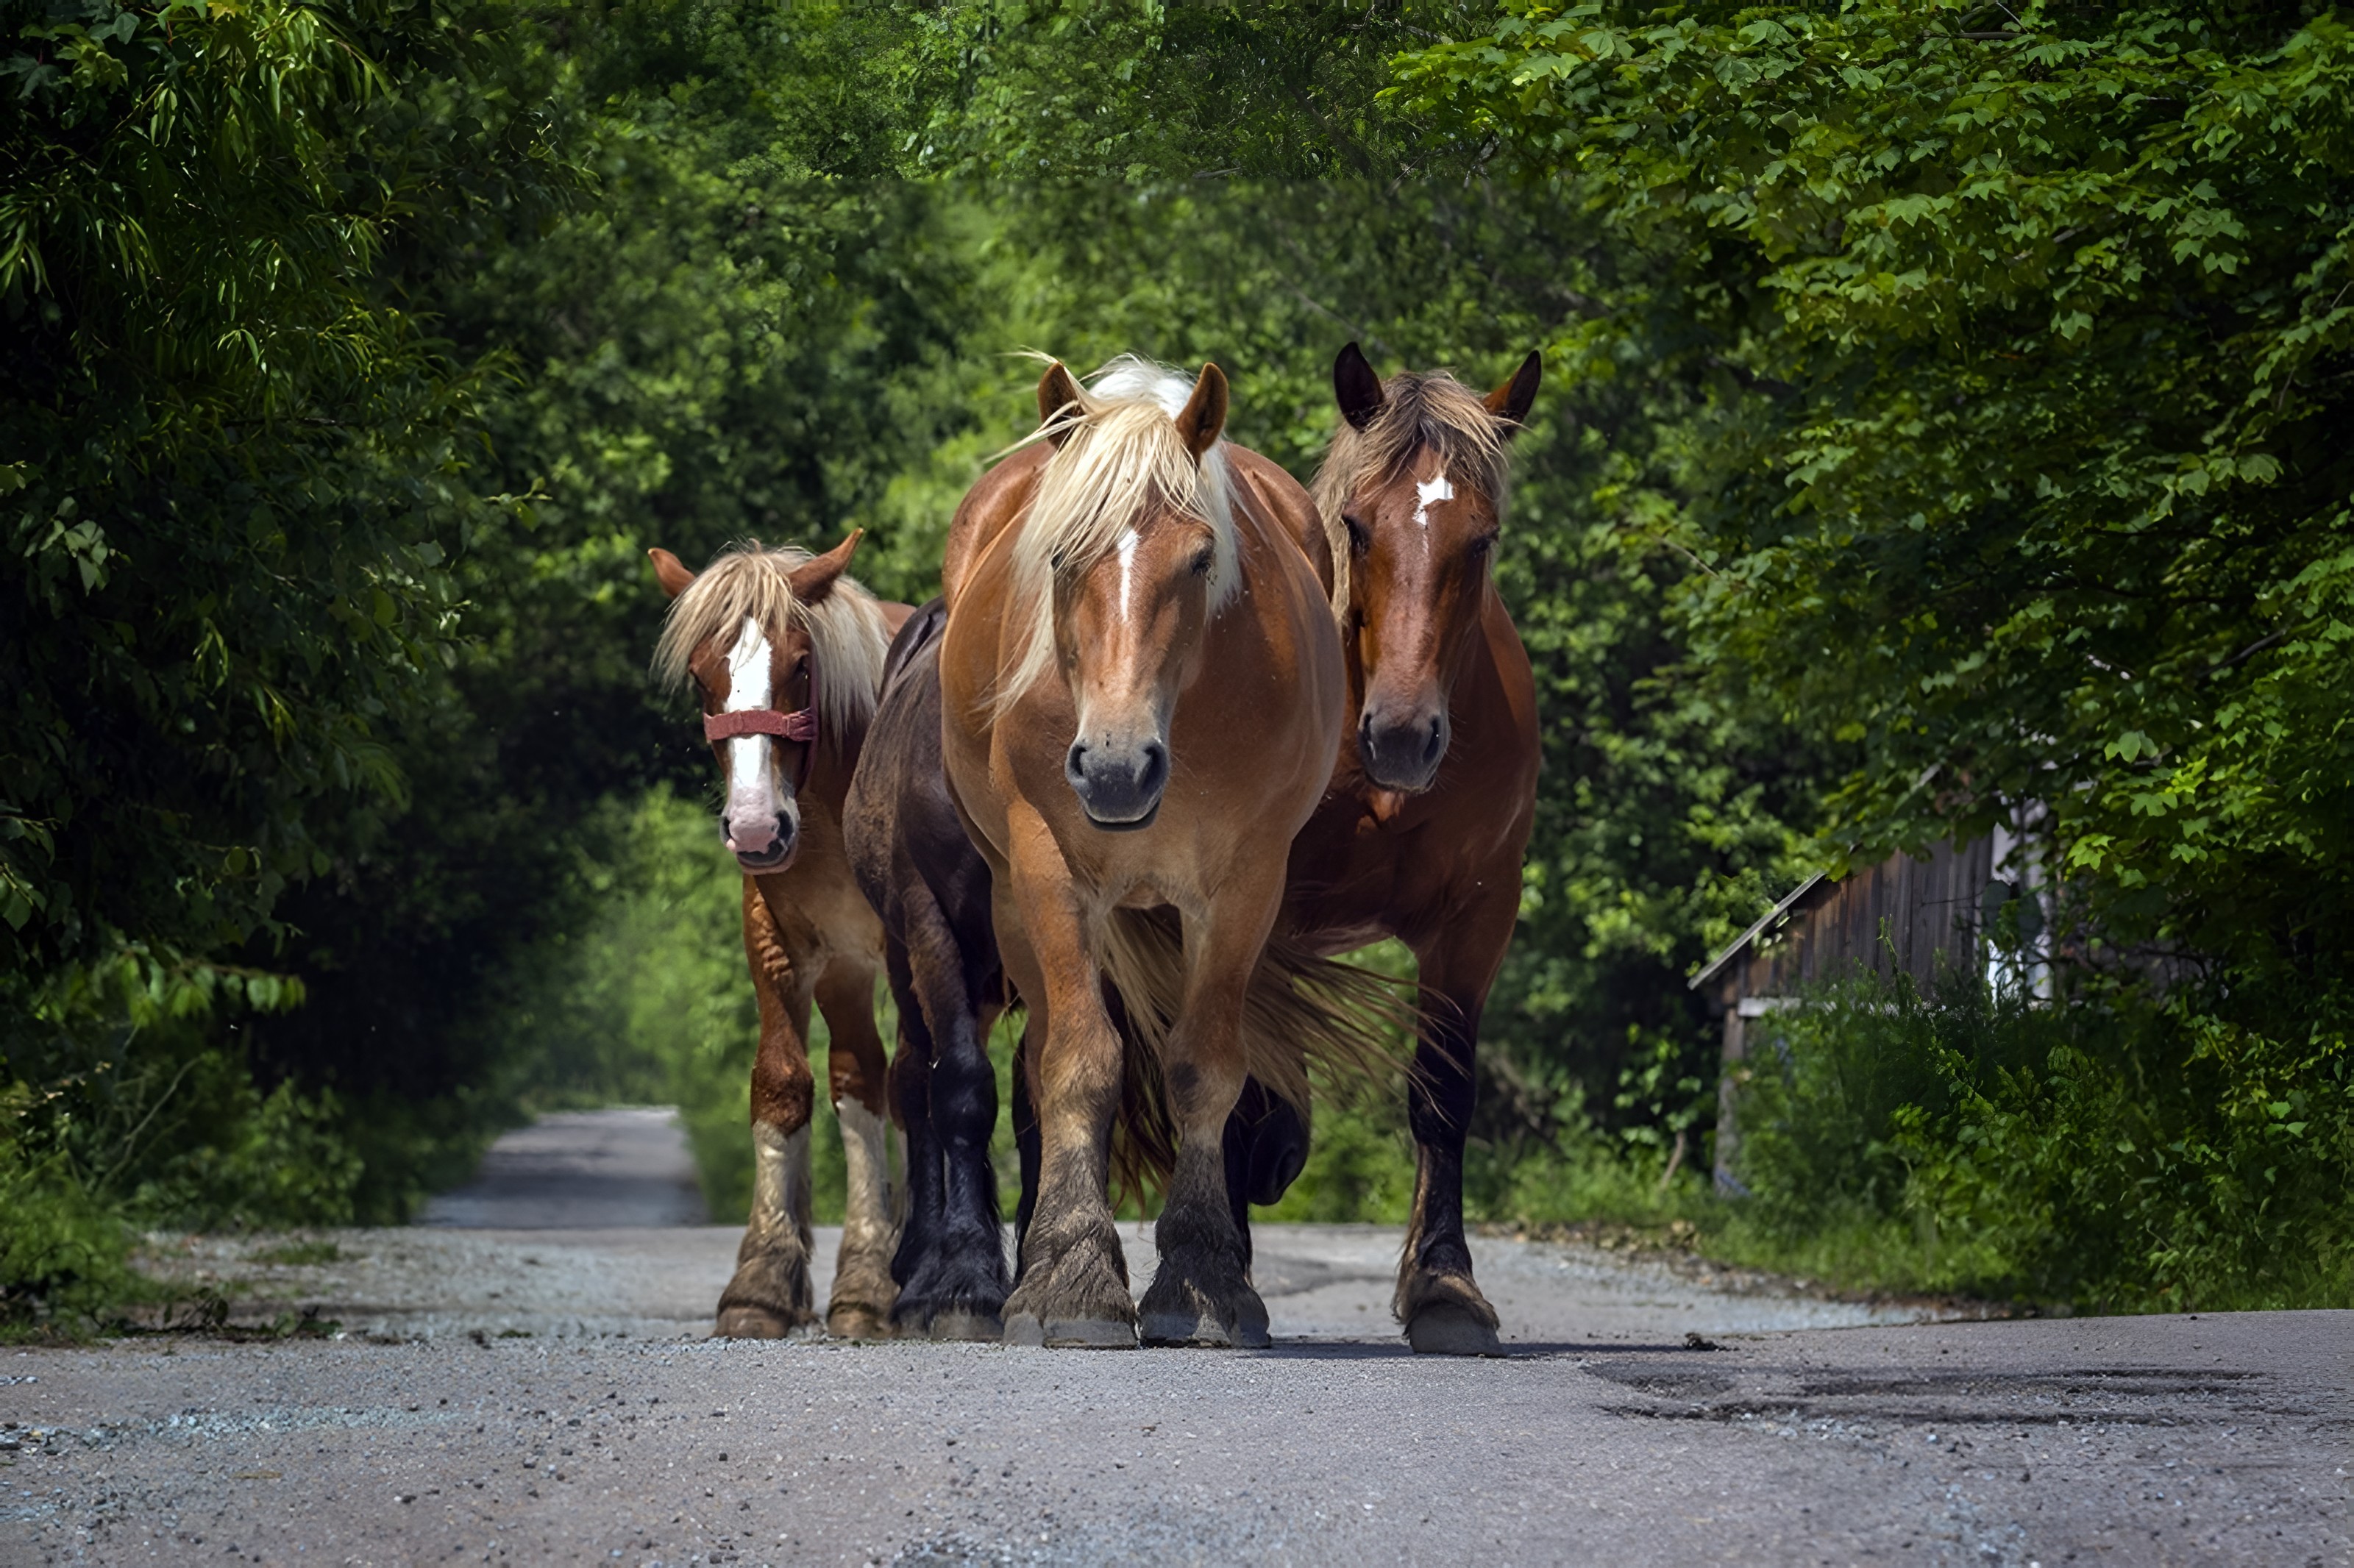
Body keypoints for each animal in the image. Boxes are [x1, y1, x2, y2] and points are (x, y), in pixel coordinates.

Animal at [648, 531, 915, 1339]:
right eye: (701, 673)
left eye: (800, 665)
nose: (756, 829)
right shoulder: (783, 947)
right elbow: (789, 1084)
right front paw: (765, 1279)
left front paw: (881, 1279)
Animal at [936, 356, 1386, 1348]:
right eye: (1060, 557)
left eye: (1200, 559)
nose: (1114, 766)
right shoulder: (1048, 871)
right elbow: (1079, 1062)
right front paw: (1070, 1278)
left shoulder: (1243, 884)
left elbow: (1203, 1066)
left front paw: (1203, 1278)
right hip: (1012, 897)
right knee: (1043, 1058)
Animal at [1275, 342, 1545, 1355]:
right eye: (1356, 527)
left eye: (1482, 539)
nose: (1400, 735)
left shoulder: (1474, 918)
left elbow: (1441, 1092)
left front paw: (1442, 1284)